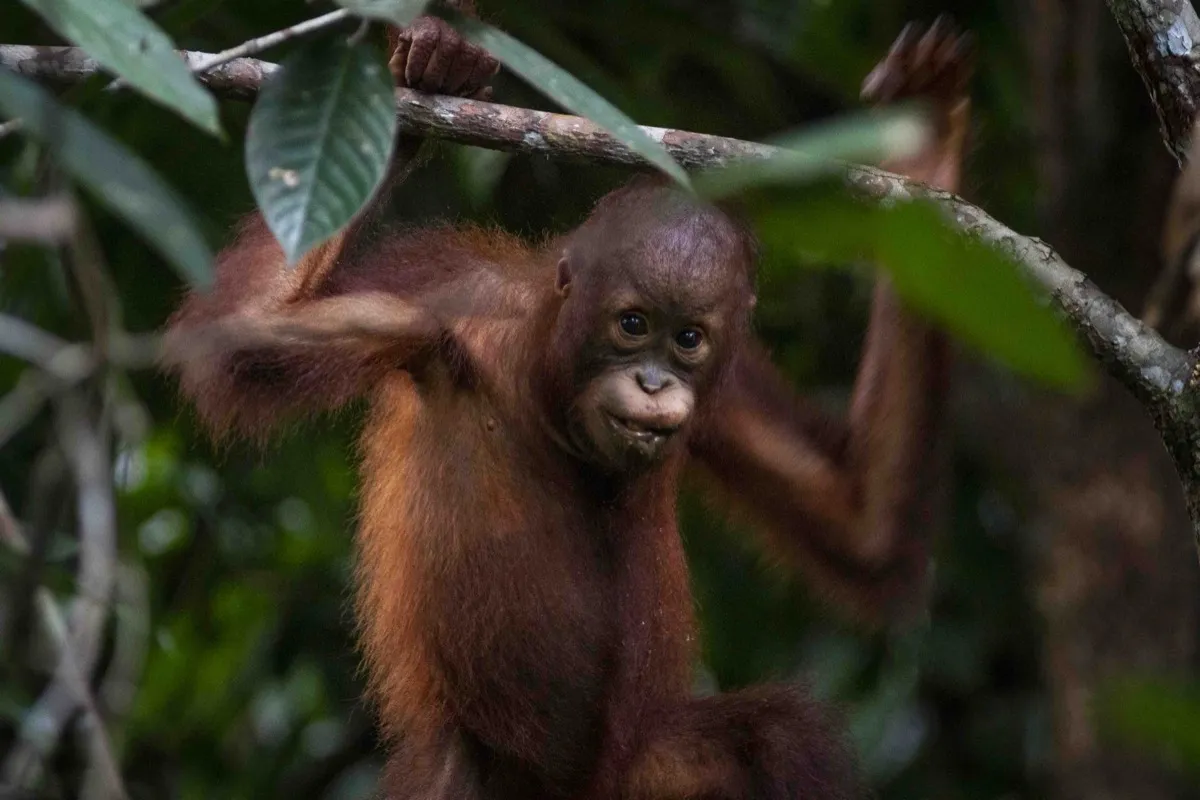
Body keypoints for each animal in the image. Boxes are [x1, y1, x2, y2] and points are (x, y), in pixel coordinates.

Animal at [162, 12, 971, 800]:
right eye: (632, 324)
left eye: (688, 339)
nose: (653, 383)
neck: (549, 387)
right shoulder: (447, 300)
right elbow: (247, 346)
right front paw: (426, 75)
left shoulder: (728, 388)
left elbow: (862, 528)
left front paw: (928, 144)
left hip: (646, 768)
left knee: (778, 735)